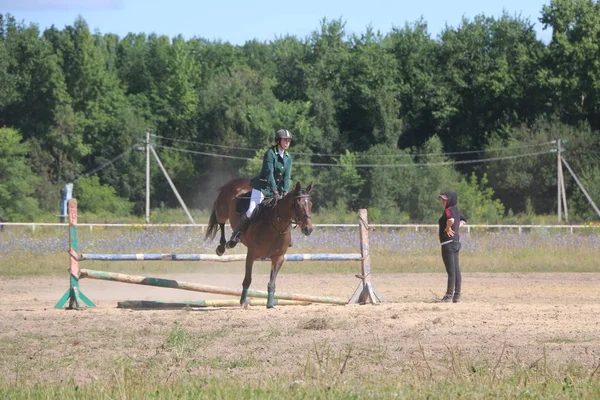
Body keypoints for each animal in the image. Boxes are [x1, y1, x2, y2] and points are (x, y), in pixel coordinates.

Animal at [205, 180, 312, 308]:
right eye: (297, 205)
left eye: (311, 205)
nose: (308, 229)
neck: (276, 228)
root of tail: (234, 182)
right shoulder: (251, 254)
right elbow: (247, 279)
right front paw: (243, 301)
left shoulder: (278, 257)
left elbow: (271, 282)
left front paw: (270, 303)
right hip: (222, 211)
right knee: (221, 222)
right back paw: (224, 246)